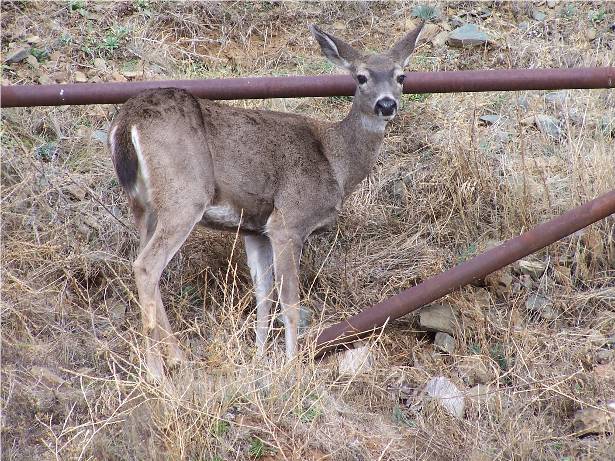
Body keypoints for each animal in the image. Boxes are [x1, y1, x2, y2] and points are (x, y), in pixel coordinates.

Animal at [109, 23, 424, 380]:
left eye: (402, 76)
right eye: (361, 77)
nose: (386, 105)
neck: (335, 161)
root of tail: (127, 122)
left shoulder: (255, 230)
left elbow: (264, 297)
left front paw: (258, 359)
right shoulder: (288, 221)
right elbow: (289, 302)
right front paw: (292, 367)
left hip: (143, 206)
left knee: (146, 262)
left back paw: (176, 359)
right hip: (184, 196)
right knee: (146, 265)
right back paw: (158, 372)